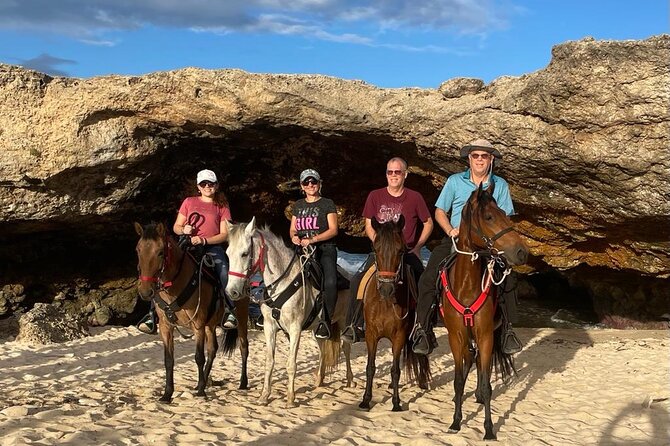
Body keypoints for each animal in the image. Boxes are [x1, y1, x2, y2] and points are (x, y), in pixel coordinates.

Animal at [135, 223, 251, 404]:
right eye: (138, 250)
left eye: (160, 252)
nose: (146, 292)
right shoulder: (166, 327)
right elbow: (169, 360)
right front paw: (167, 394)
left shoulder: (198, 325)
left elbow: (198, 357)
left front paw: (201, 391)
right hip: (211, 325)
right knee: (213, 349)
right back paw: (202, 381)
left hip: (241, 316)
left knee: (244, 347)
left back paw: (242, 383)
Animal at [226, 217, 354, 408]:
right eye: (227, 253)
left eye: (244, 253)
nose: (232, 292)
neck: (283, 281)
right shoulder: (269, 327)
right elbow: (269, 362)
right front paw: (264, 396)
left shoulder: (295, 329)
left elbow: (291, 364)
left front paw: (290, 398)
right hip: (318, 328)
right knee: (322, 348)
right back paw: (319, 380)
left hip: (344, 321)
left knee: (346, 348)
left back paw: (350, 379)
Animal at [360, 216, 434, 412]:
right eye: (375, 249)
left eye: (400, 251)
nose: (386, 289)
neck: (386, 302)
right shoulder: (371, 334)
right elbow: (370, 367)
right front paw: (365, 400)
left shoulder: (399, 335)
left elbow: (395, 370)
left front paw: (396, 402)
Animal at [444, 183, 532, 440]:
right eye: (489, 217)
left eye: (504, 212)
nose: (522, 252)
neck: (466, 285)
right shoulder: (456, 337)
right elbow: (458, 380)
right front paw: (456, 421)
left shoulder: (485, 335)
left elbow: (485, 382)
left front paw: (489, 429)